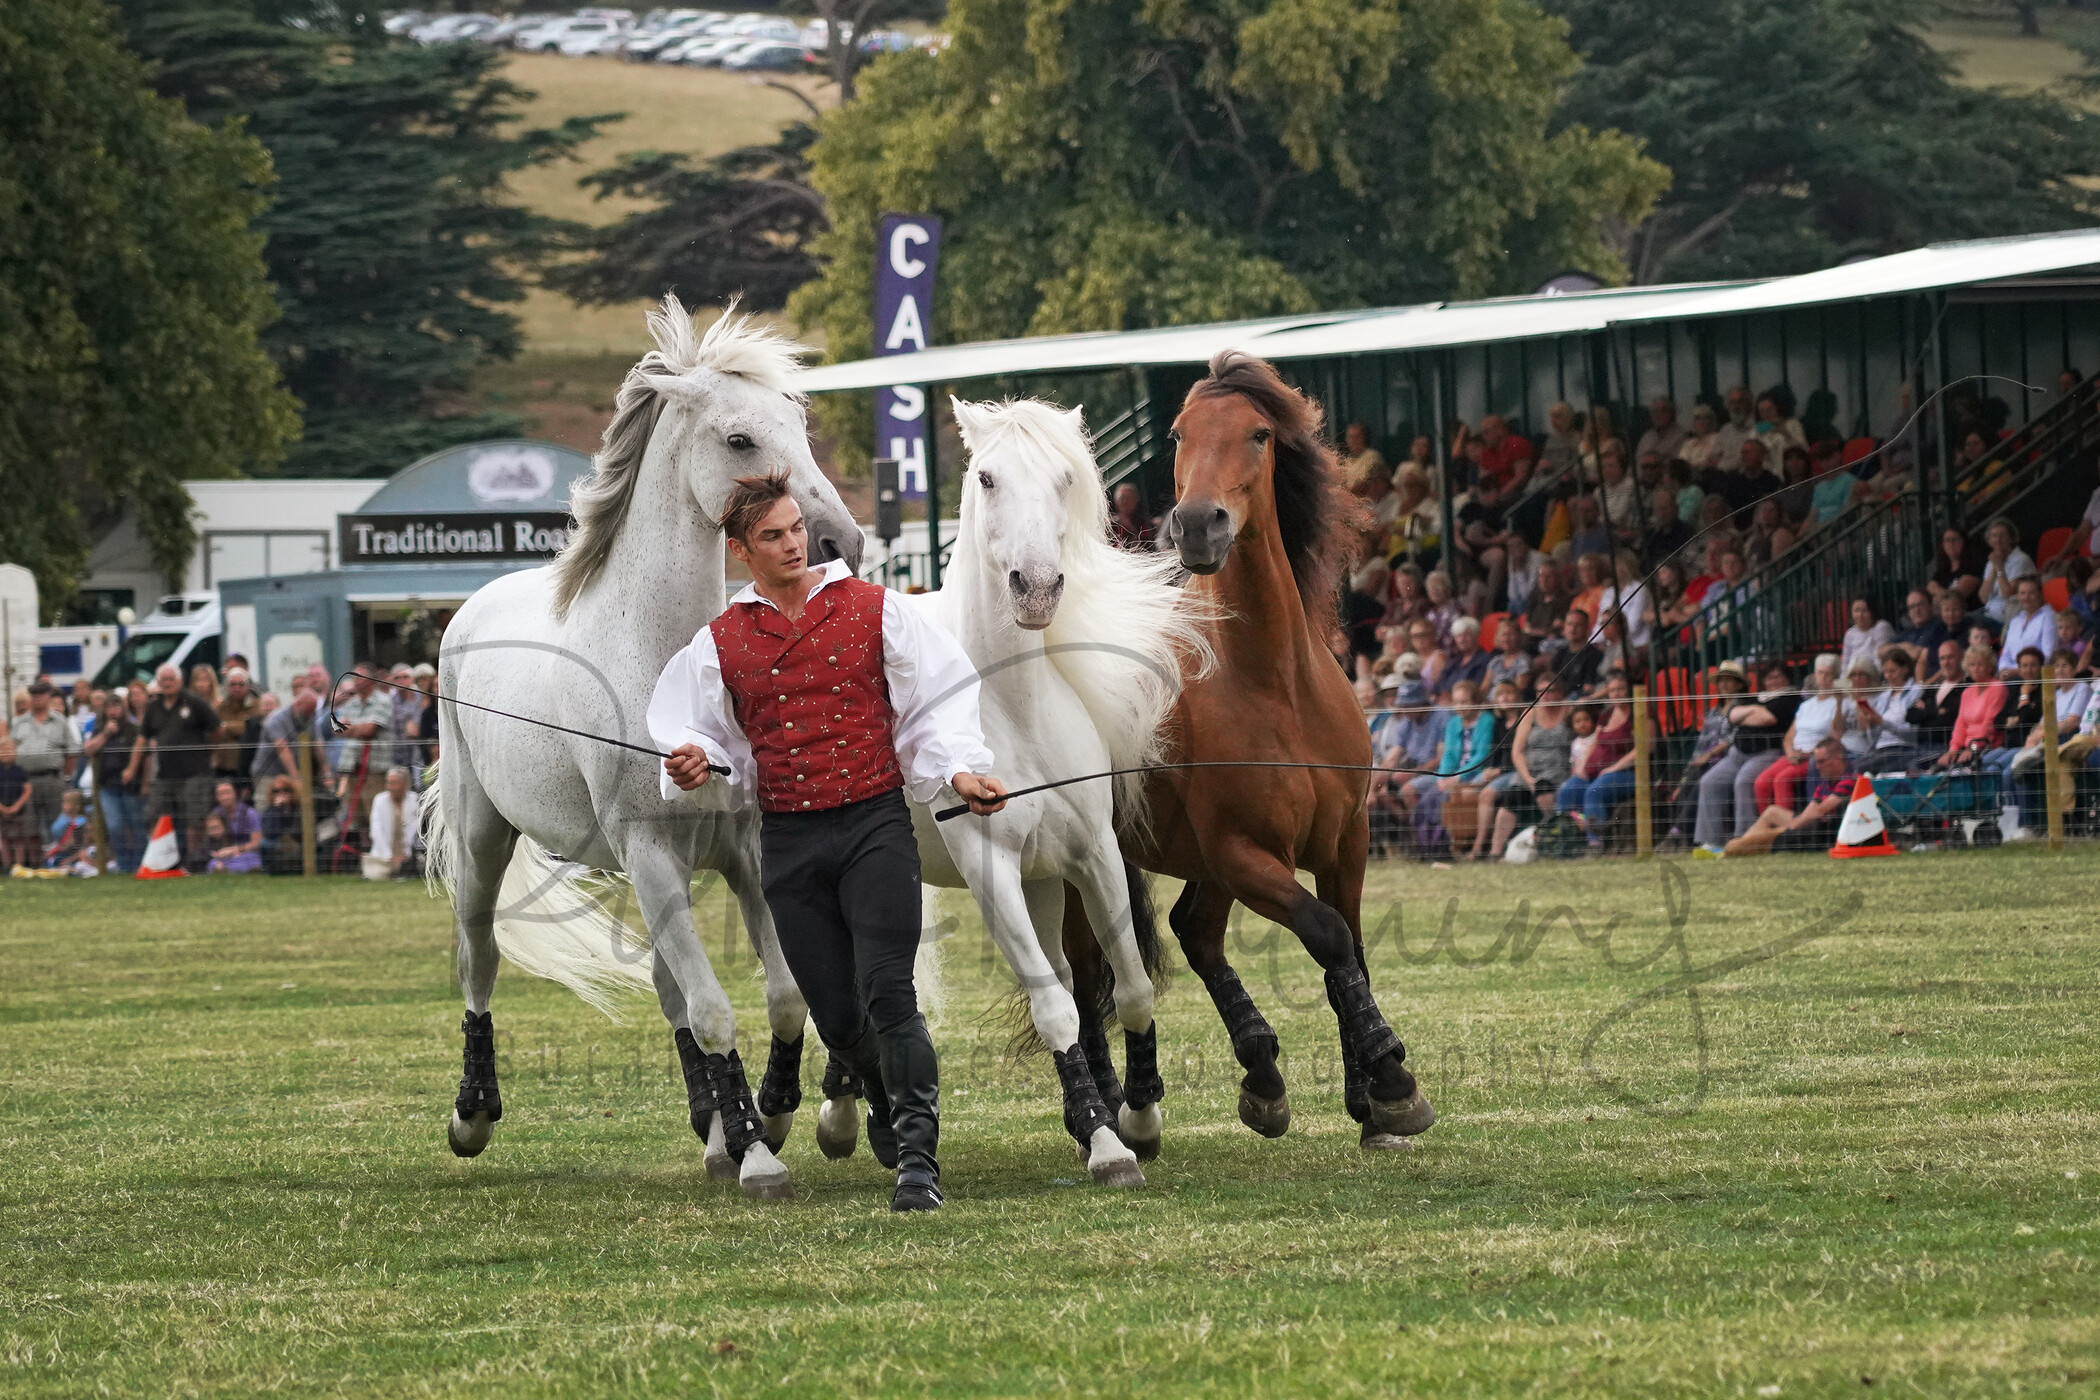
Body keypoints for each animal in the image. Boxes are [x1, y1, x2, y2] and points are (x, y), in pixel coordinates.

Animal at [419, 298, 860, 1208]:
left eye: (799, 425)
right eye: (740, 439)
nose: (839, 541)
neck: (660, 659)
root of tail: (469, 610)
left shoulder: (747, 854)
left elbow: (782, 996)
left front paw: (769, 1117)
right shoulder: (654, 853)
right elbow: (717, 1009)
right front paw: (759, 1155)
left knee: (667, 989)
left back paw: (712, 1126)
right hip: (487, 845)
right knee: (479, 960)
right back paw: (473, 1115)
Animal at [818, 398, 1218, 1192]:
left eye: (1065, 478)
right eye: (987, 477)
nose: (1035, 586)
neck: (1011, 708)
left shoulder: (1089, 858)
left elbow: (1127, 987)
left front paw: (1137, 1118)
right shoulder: (991, 876)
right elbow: (1055, 1009)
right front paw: (1109, 1147)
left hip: (1038, 880)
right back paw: (834, 1116)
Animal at [1075, 350, 1436, 1150]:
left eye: (1260, 434)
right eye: (1179, 433)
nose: (1196, 524)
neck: (1273, 684)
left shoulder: (1345, 842)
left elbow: (1351, 949)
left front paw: (1372, 1101)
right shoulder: (1245, 853)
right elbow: (1326, 935)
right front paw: (1393, 1080)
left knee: (1192, 935)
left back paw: (1256, 1075)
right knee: (1087, 979)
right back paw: (1110, 1113)